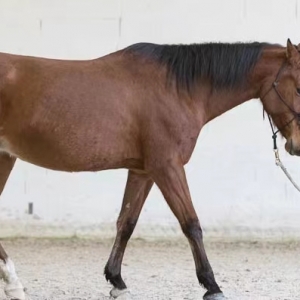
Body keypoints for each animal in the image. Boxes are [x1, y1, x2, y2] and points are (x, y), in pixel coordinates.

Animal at [0, 38, 300, 298]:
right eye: (298, 87)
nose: (296, 146)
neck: (177, 89)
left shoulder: (143, 171)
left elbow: (127, 222)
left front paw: (117, 280)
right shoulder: (167, 167)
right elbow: (191, 223)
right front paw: (211, 285)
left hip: (5, 158)